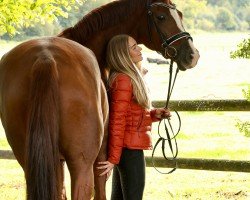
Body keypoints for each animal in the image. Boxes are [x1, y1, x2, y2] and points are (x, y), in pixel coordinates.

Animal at [0, 0, 199, 199]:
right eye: (161, 17)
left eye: (180, 15)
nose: (192, 55)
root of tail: (45, 57)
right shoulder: (102, 155)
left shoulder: (55, 161)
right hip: (82, 163)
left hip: (28, 160)